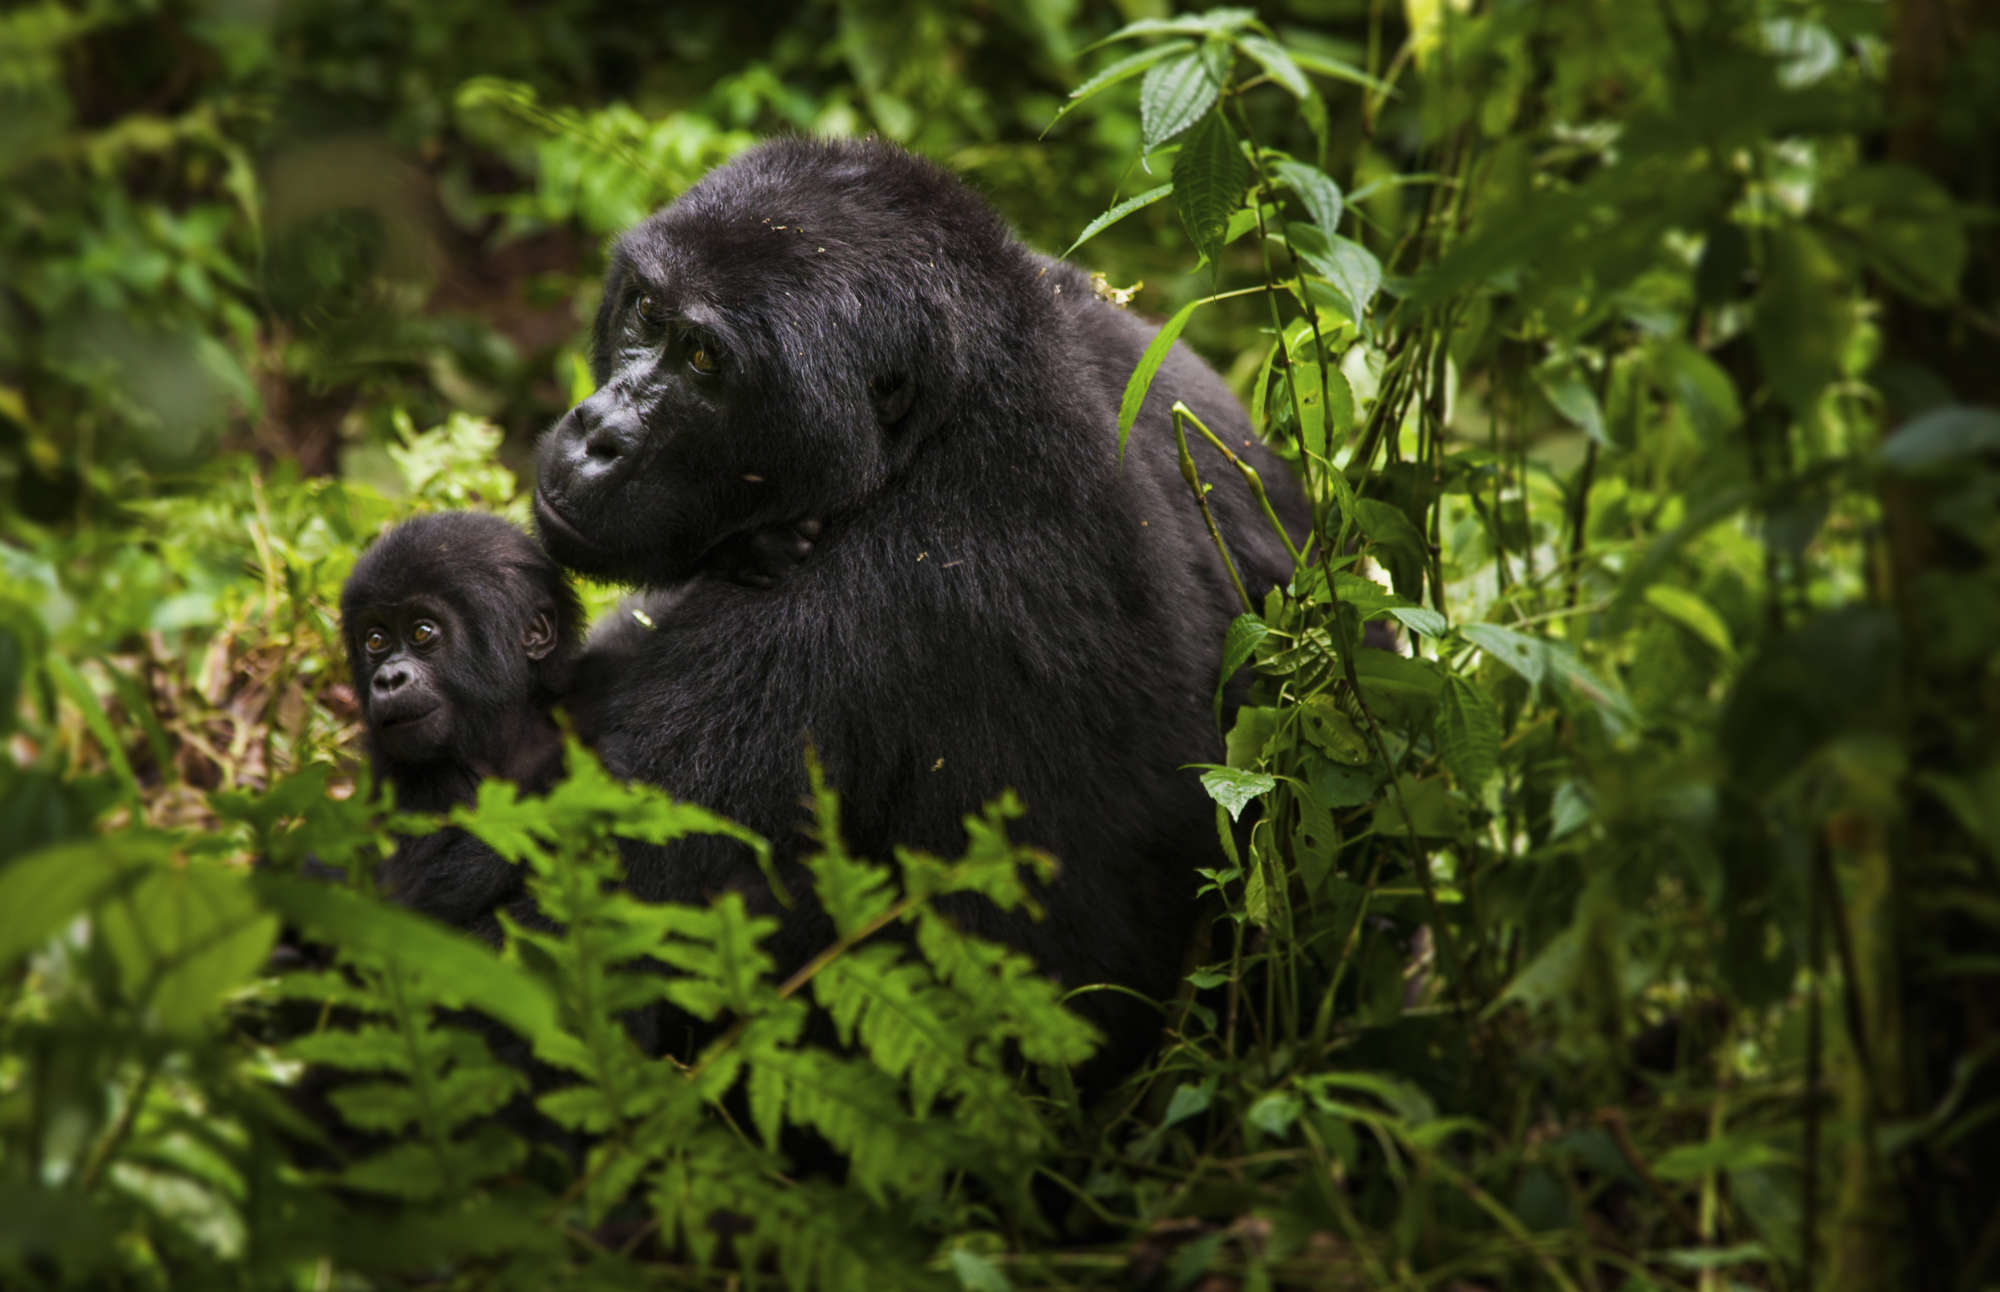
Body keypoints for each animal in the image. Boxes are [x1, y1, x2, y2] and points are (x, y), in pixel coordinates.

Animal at [532, 137, 1312, 1080]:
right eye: (645, 311)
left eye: (705, 360)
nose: (597, 435)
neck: (951, 415)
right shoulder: (1143, 356)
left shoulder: (846, 614)